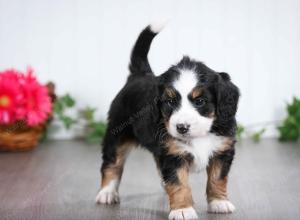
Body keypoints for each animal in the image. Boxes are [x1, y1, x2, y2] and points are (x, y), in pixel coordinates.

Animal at [95, 22, 240, 220]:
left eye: (200, 101)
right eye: (170, 102)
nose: (181, 127)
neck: (199, 136)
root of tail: (139, 75)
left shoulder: (222, 150)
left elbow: (217, 178)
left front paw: (219, 202)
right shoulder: (173, 156)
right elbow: (179, 183)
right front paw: (182, 210)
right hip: (117, 133)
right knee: (112, 163)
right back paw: (107, 192)